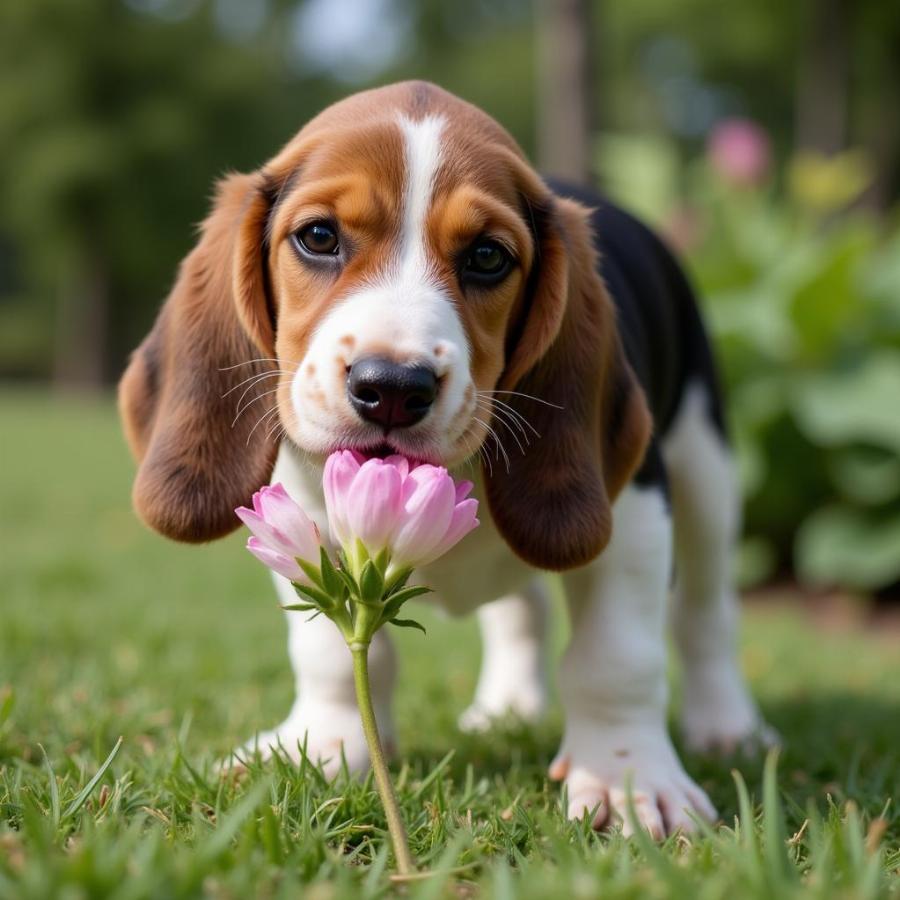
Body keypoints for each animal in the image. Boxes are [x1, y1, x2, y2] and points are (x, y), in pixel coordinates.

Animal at [119, 81, 772, 840]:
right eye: (319, 237)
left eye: (487, 256)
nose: (392, 387)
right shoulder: (296, 510)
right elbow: (330, 655)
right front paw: (326, 745)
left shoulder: (636, 509)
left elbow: (617, 655)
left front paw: (628, 779)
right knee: (522, 609)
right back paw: (507, 706)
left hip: (706, 470)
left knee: (705, 610)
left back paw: (726, 725)